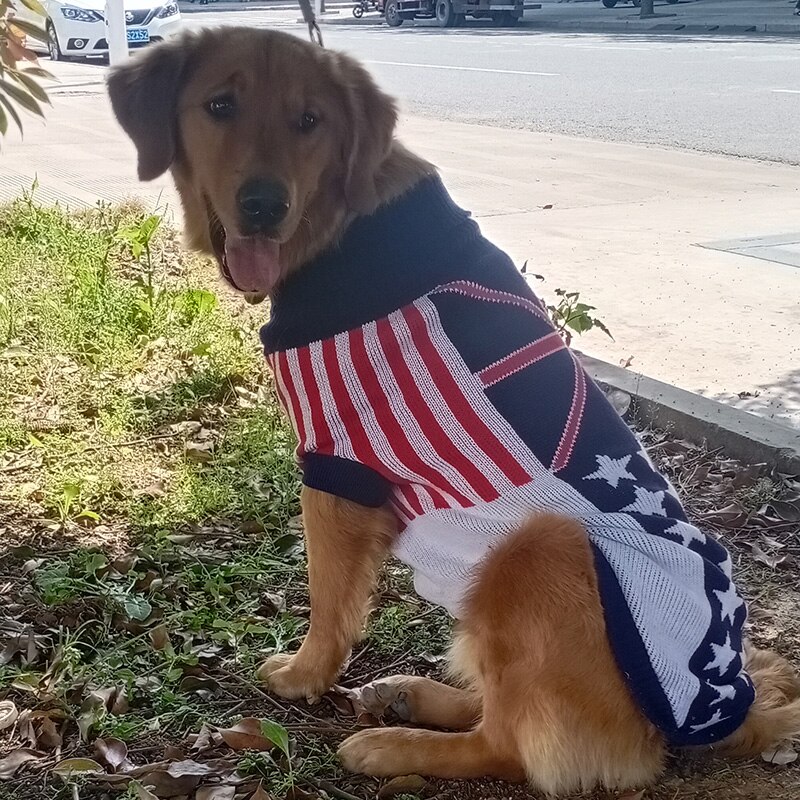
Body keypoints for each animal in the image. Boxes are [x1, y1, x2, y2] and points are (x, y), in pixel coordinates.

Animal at [109, 29, 800, 792]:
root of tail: (724, 708)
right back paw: (411, 697)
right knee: (497, 706)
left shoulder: (333, 467)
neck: (343, 229)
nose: (263, 205)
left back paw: (397, 744)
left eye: (309, 121)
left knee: (511, 745)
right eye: (219, 106)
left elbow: (329, 599)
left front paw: (304, 675)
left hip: (542, 549)